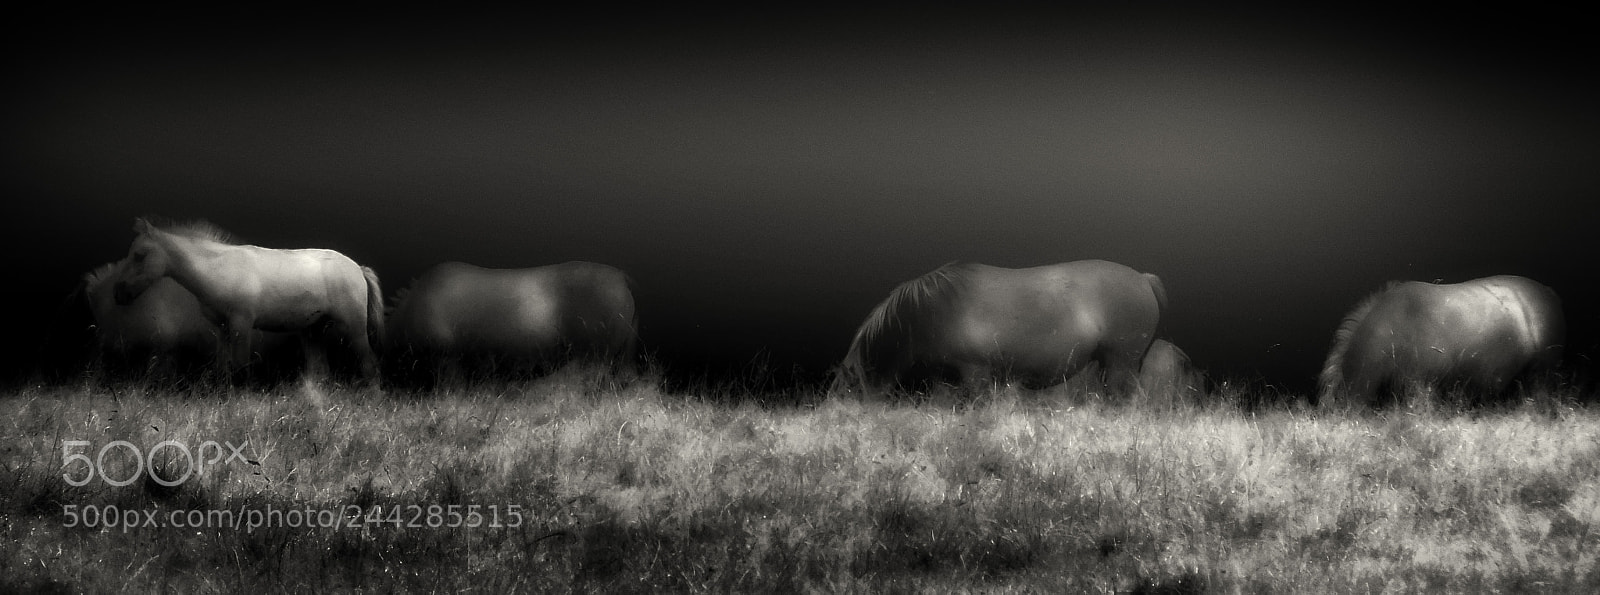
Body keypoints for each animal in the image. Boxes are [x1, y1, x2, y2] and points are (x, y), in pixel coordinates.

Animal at [111, 217, 384, 386]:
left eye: (139, 255)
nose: (118, 293)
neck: (220, 269)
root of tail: (358, 268)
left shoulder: (241, 325)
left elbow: (241, 367)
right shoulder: (222, 329)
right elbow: (222, 368)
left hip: (353, 328)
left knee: (369, 364)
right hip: (312, 332)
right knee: (321, 373)